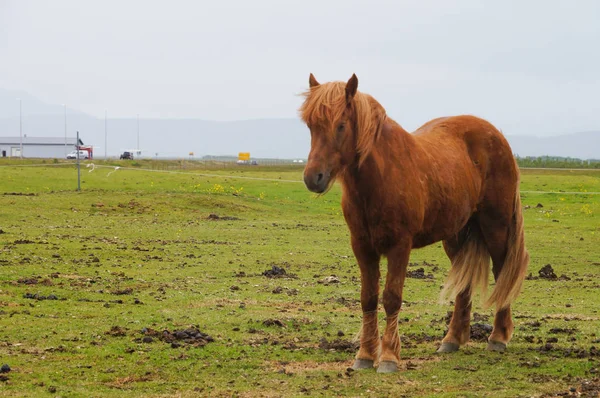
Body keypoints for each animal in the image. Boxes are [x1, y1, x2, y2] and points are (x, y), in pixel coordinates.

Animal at [300, 74, 528, 374]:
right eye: (311, 125)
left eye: (340, 125)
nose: (313, 177)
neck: (380, 177)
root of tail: (497, 137)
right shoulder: (362, 246)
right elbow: (368, 298)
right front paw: (364, 355)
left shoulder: (400, 245)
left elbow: (391, 298)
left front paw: (388, 357)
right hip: (456, 236)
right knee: (463, 282)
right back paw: (452, 340)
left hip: (495, 226)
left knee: (502, 272)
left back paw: (498, 337)